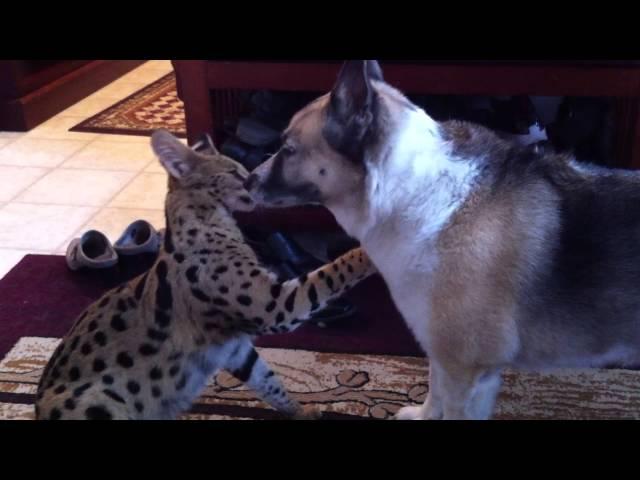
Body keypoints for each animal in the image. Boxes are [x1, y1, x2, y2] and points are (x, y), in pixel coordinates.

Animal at [246, 60, 640, 420]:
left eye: (289, 149)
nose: (248, 180)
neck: (415, 193)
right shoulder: (445, 356)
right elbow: (433, 391)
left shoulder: (464, 371)